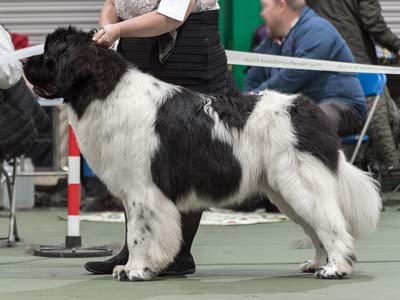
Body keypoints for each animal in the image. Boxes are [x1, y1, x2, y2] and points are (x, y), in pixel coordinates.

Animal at [24, 27, 382, 282]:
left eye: (49, 53)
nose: (24, 61)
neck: (104, 90)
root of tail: (307, 109)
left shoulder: (143, 191)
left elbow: (139, 233)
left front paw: (135, 270)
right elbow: (138, 232)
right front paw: (137, 267)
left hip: (300, 183)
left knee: (331, 225)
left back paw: (336, 268)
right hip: (285, 191)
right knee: (316, 227)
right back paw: (317, 263)